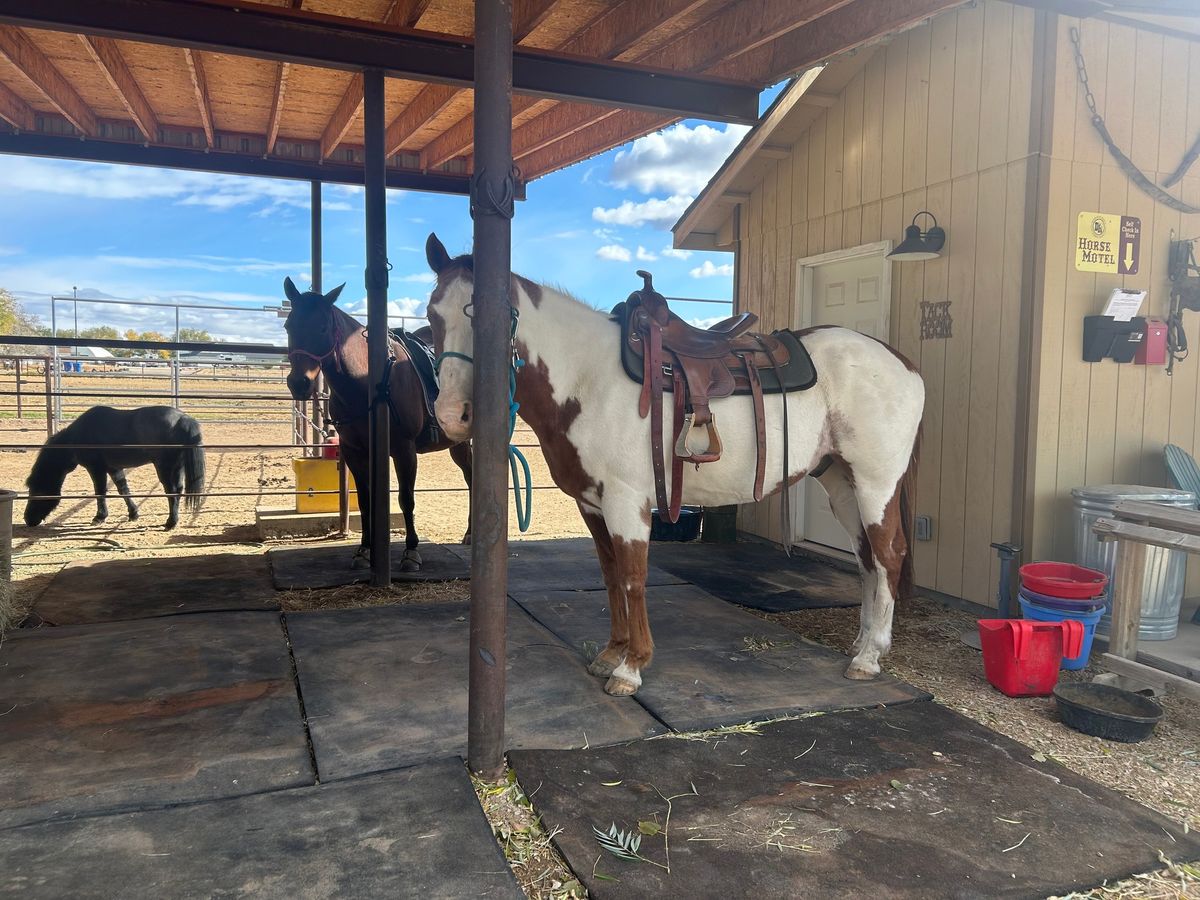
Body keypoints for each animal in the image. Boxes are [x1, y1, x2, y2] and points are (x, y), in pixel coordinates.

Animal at [24, 408, 207, 532]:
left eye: (36, 491)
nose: (28, 519)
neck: (76, 438)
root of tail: (183, 419)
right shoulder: (114, 468)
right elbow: (123, 490)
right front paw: (133, 514)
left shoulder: (96, 468)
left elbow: (100, 492)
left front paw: (99, 517)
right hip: (177, 467)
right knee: (178, 490)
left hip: (164, 467)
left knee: (172, 491)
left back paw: (171, 522)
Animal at [282, 278, 472, 571]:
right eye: (289, 326)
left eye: (323, 326)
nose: (299, 383)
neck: (366, 383)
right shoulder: (355, 452)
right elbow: (364, 500)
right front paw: (364, 550)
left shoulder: (404, 450)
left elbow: (406, 499)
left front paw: (411, 551)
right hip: (458, 442)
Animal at [427, 234, 921, 696]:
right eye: (433, 316)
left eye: (490, 318)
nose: (453, 416)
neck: (588, 380)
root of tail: (903, 363)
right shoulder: (592, 504)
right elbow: (610, 576)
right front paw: (612, 653)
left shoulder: (626, 502)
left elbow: (632, 577)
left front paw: (631, 668)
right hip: (840, 481)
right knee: (866, 558)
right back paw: (861, 645)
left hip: (876, 483)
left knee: (889, 553)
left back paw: (870, 657)